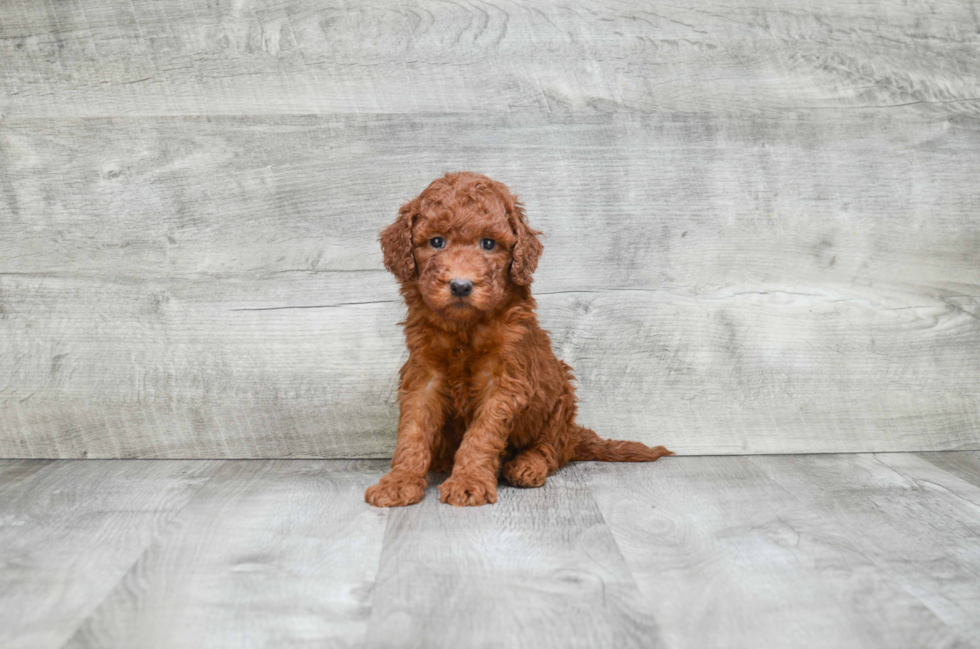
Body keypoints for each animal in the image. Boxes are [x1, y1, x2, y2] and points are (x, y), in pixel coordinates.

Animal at [364, 172, 668, 506]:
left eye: (488, 243)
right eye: (436, 241)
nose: (461, 285)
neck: (464, 327)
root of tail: (573, 435)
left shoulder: (504, 380)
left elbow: (482, 435)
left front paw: (468, 482)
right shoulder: (423, 376)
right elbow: (413, 431)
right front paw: (399, 481)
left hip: (561, 400)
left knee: (551, 450)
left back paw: (526, 465)